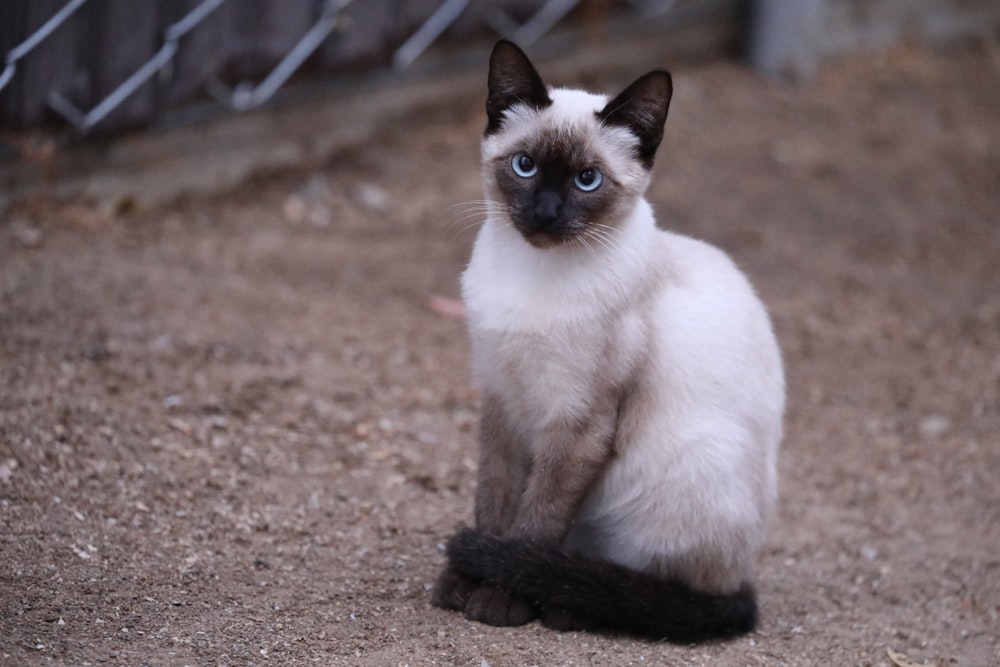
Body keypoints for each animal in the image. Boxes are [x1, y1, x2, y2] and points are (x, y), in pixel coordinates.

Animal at [432, 40, 788, 640]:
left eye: (586, 180)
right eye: (525, 166)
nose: (545, 213)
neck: (532, 276)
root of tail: (746, 578)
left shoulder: (579, 422)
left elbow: (535, 522)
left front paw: (497, 600)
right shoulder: (501, 398)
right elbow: (496, 503)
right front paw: (464, 583)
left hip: (675, 474)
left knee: (668, 591)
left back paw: (567, 604)